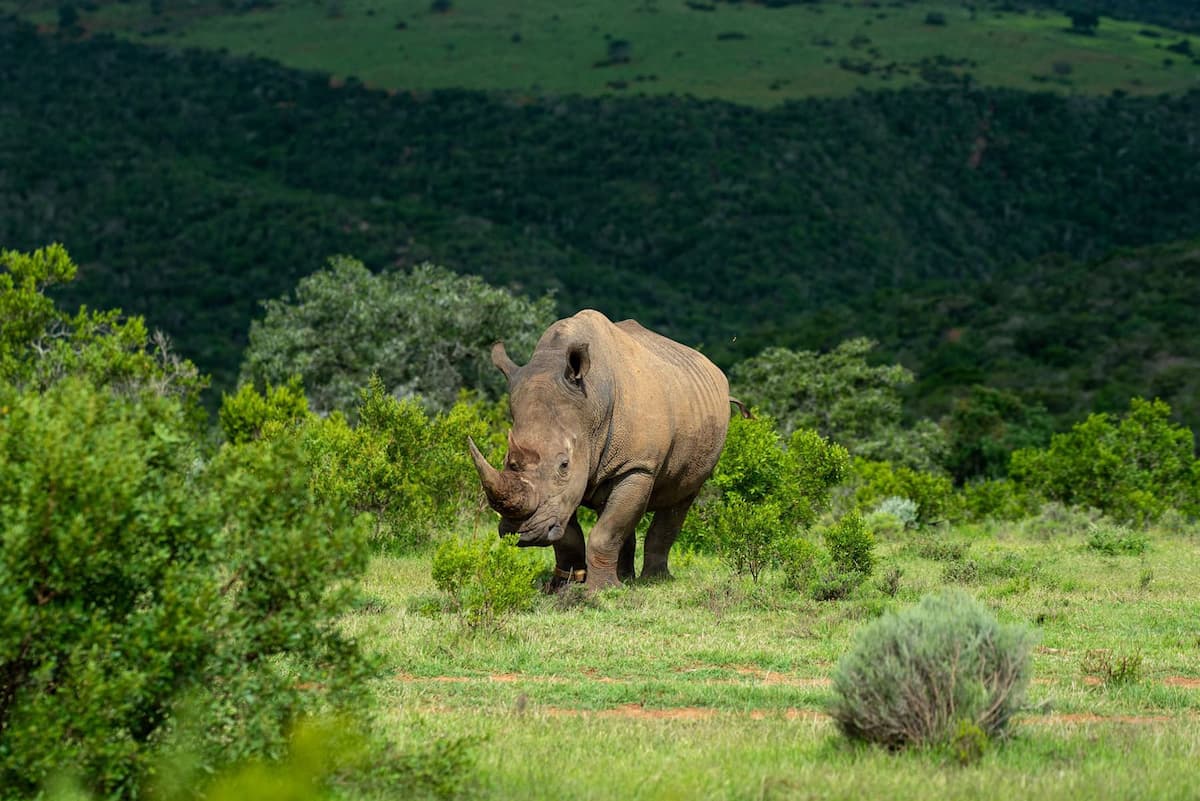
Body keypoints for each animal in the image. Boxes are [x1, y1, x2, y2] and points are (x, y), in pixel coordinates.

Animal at [468, 309, 745, 590]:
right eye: (506, 460)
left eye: (564, 465)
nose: (519, 532)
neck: (591, 406)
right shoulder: (565, 489)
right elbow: (569, 533)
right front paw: (563, 588)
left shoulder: (637, 466)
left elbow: (606, 530)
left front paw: (600, 591)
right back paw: (625, 578)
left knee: (682, 496)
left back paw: (654, 581)